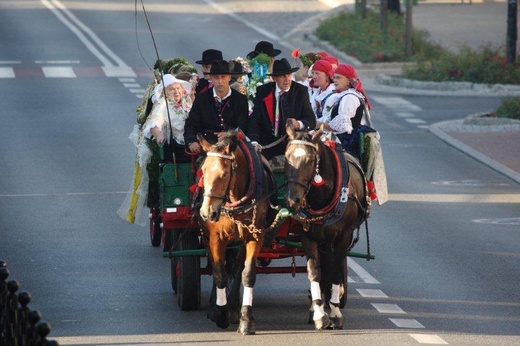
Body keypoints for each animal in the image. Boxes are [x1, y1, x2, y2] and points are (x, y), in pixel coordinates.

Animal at [196, 130, 276, 336]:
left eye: (224, 174)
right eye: (203, 171)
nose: (207, 213)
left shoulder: (255, 236)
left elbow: (247, 273)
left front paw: (246, 320)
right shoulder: (215, 239)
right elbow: (220, 274)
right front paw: (220, 314)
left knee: (237, 267)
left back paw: (232, 307)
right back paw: (216, 307)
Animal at [284, 122, 370, 330]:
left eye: (309, 160)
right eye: (286, 156)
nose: (292, 200)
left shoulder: (343, 237)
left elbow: (336, 270)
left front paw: (335, 311)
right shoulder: (308, 237)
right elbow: (314, 271)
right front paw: (319, 313)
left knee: (331, 268)